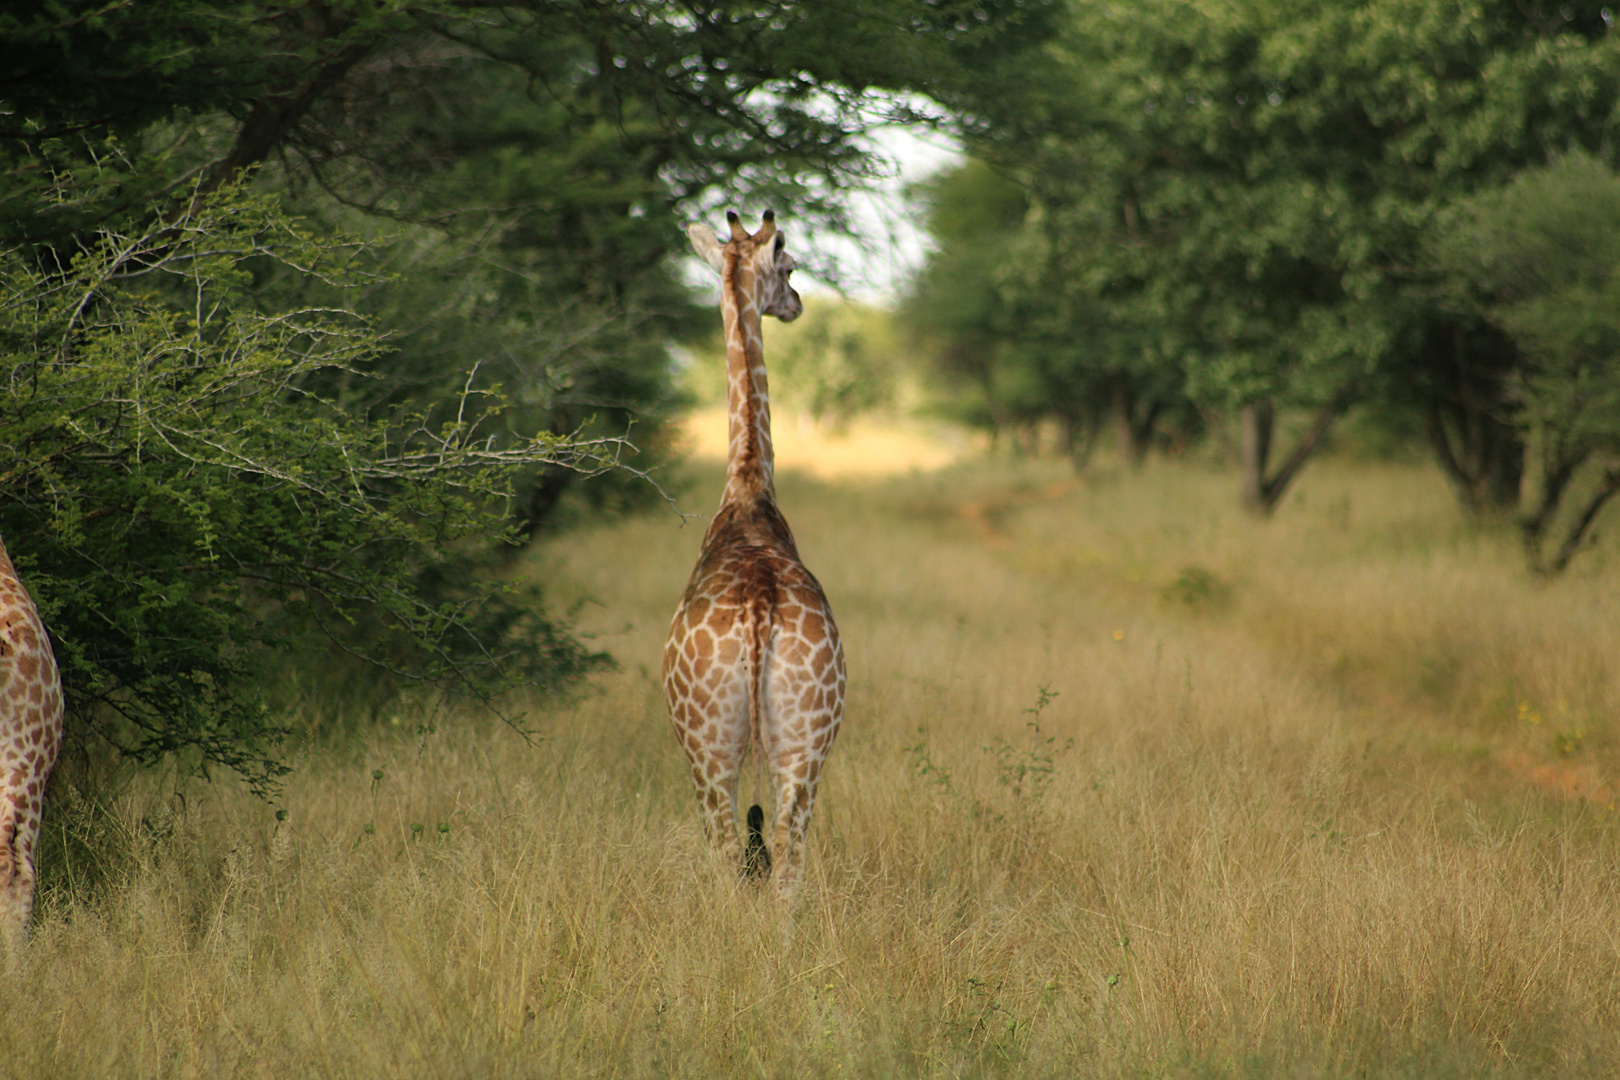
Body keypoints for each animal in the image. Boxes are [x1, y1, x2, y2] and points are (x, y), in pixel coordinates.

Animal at [667, 210, 848, 906]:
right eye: (790, 267)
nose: (795, 304)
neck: (748, 489)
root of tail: (758, 613)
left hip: (711, 746)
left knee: (734, 852)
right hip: (798, 742)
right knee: (784, 857)